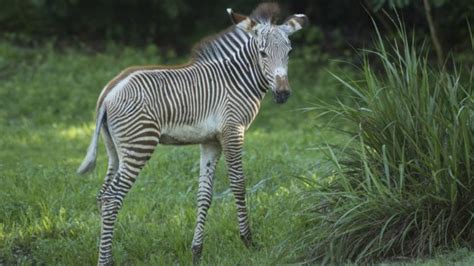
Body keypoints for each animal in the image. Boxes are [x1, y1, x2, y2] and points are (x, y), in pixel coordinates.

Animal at [78, 2, 308, 264]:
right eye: (262, 53)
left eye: (289, 52)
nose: (283, 94)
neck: (236, 80)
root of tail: (109, 91)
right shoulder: (233, 132)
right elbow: (238, 184)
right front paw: (248, 242)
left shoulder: (211, 141)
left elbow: (204, 195)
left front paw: (197, 251)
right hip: (140, 144)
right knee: (111, 198)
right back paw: (105, 259)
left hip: (115, 151)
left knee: (101, 195)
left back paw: (106, 252)